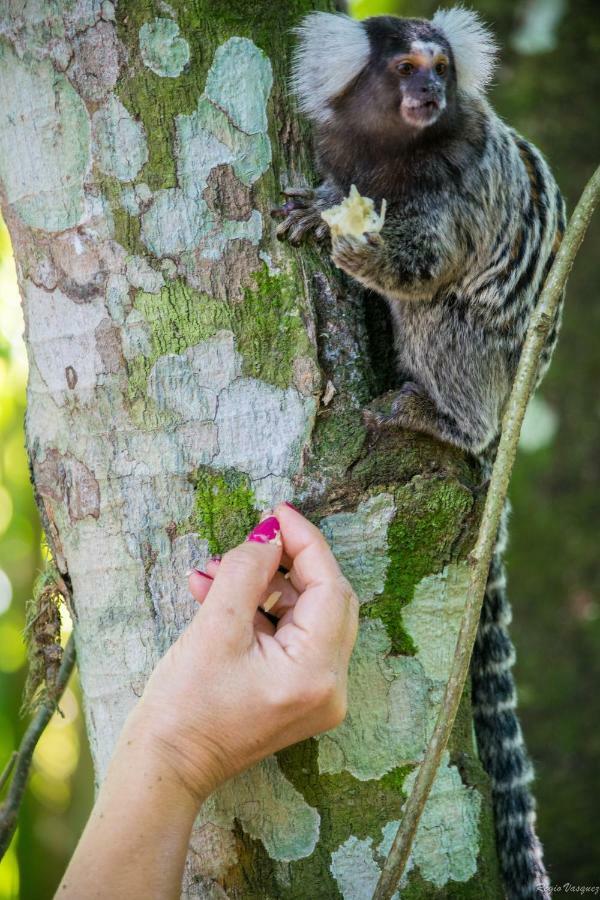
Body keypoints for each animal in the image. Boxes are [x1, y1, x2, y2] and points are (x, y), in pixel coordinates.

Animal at [274, 8, 564, 900]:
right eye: (406, 67)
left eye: (440, 66)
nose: (430, 90)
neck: (390, 156)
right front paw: (327, 207)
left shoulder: (457, 179)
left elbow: (428, 266)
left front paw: (348, 237)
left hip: (496, 365)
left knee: (446, 309)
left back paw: (443, 419)